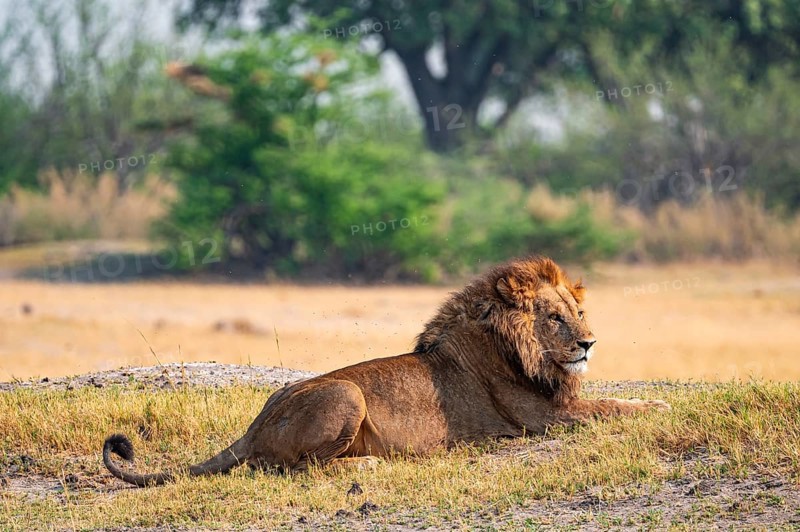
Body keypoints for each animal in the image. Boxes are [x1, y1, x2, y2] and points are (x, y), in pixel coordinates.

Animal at [103, 256, 669, 486]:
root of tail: (255, 425)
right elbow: (614, 406)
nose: (589, 343)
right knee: (290, 467)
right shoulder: (545, 418)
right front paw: (660, 404)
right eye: (554, 318)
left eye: (579, 313)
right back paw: (367, 465)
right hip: (348, 395)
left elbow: (615, 400)